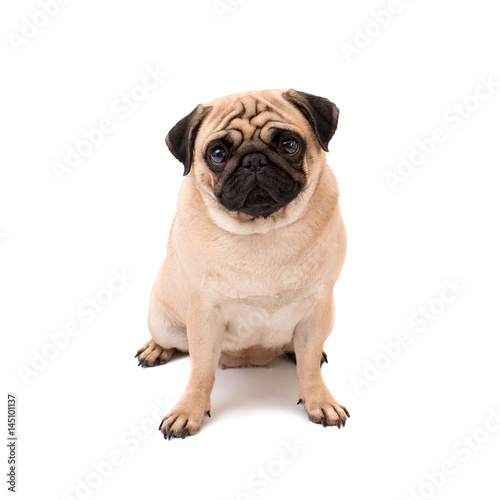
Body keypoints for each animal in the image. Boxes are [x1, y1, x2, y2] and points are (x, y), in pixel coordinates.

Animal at [135, 89, 350, 438]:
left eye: (289, 145)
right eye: (217, 154)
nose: (254, 160)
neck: (262, 232)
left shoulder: (318, 309)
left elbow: (308, 369)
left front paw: (320, 400)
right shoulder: (204, 315)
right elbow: (201, 372)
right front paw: (188, 410)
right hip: (163, 322)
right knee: (173, 342)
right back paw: (156, 349)